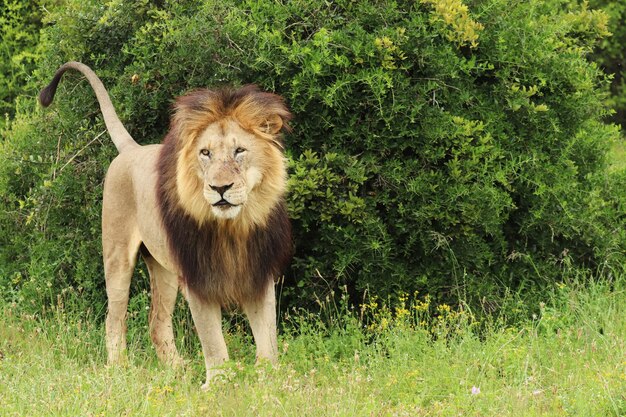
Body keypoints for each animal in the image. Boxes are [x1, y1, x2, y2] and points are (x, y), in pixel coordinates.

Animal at [39, 61, 292, 386]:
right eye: (205, 153)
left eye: (240, 151)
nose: (220, 188)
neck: (232, 228)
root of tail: (132, 149)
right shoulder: (198, 280)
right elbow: (213, 342)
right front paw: (218, 384)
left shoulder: (259, 275)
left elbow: (267, 339)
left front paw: (271, 382)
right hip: (117, 256)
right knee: (114, 317)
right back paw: (119, 368)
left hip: (163, 268)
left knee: (157, 322)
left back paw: (176, 369)